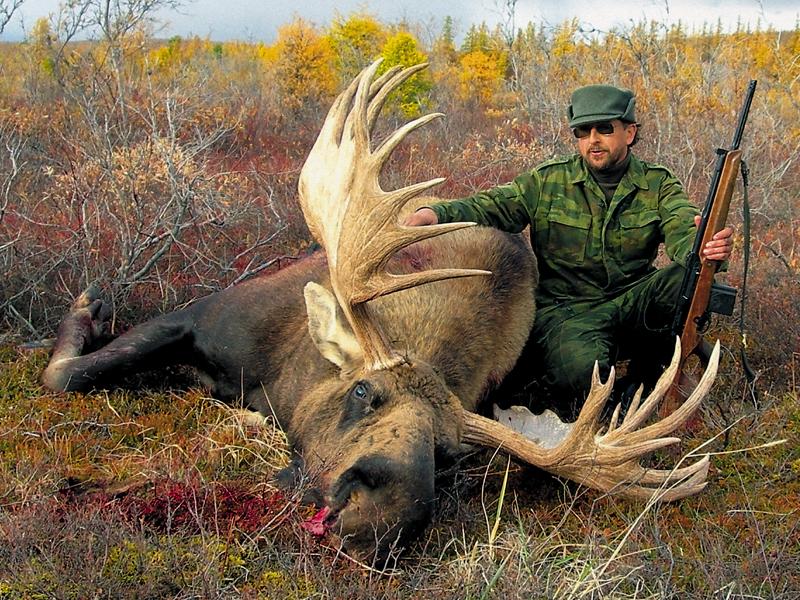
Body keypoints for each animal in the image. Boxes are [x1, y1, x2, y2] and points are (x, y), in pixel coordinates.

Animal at [39, 61, 720, 564]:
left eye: (449, 457)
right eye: (363, 393)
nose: (377, 518)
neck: (283, 376)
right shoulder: (205, 315)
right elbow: (65, 373)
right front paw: (87, 308)